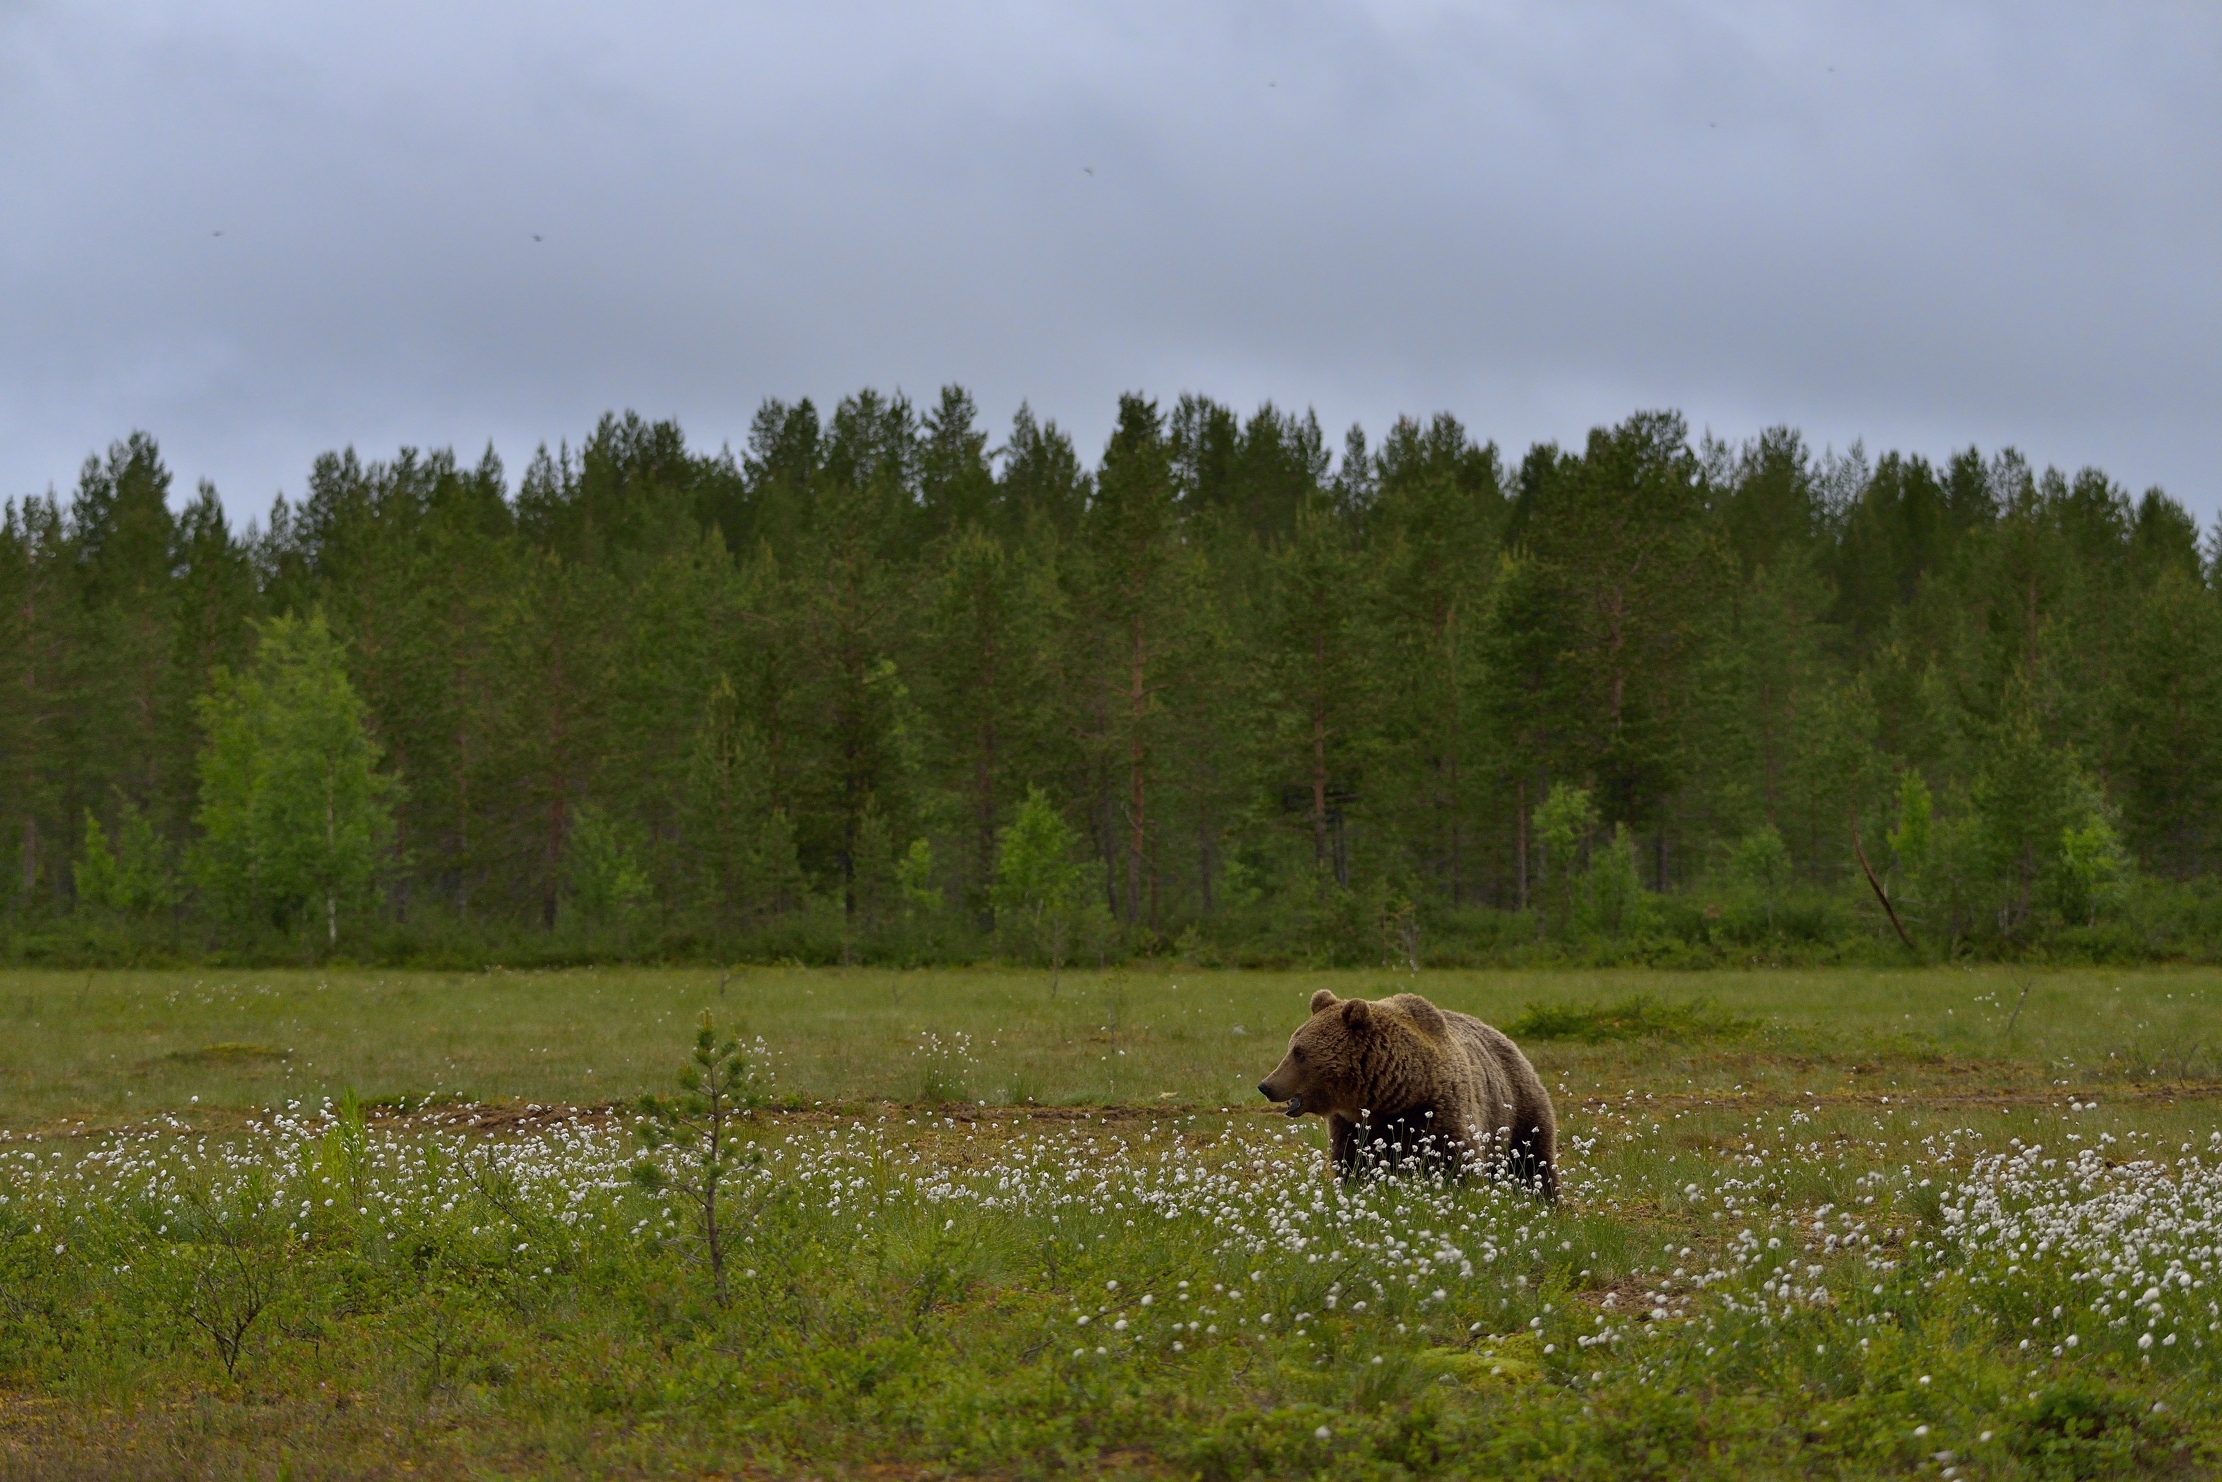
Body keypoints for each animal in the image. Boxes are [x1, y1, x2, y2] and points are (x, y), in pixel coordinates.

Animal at [1256, 988, 1558, 1197]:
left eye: (1300, 1053)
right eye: (1292, 1047)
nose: (1266, 1085)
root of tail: (1507, 1040)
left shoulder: (1438, 1110)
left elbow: (1455, 1160)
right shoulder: (1353, 1125)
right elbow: (1353, 1163)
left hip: (1518, 1108)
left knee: (1533, 1161)